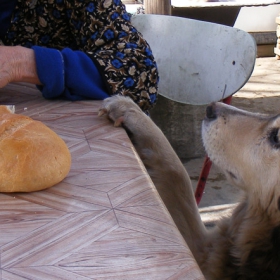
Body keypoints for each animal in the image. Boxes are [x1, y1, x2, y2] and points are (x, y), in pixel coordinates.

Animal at [99, 95, 280, 278]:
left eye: (277, 137)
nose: (211, 108)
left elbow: (180, 180)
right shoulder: (206, 251)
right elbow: (175, 170)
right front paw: (130, 108)